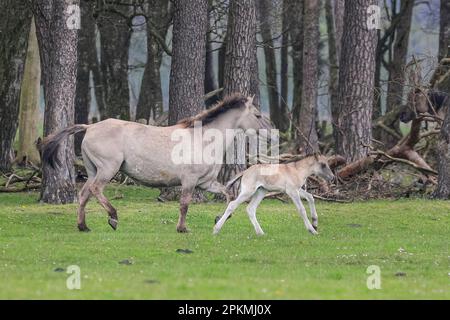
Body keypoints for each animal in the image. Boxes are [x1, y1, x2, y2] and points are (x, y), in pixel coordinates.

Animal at [42, 93, 268, 232]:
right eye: (257, 115)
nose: (267, 133)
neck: (204, 138)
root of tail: (89, 127)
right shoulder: (189, 181)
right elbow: (184, 204)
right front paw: (182, 228)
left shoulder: (206, 183)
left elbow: (228, 195)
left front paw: (220, 218)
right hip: (107, 169)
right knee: (96, 190)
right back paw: (113, 217)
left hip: (92, 170)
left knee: (83, 194)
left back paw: (83, 226)